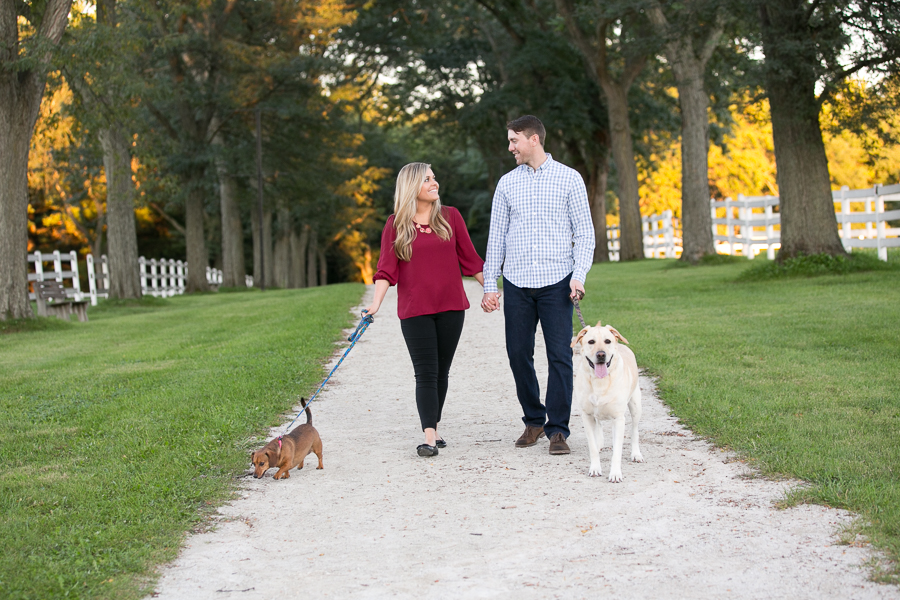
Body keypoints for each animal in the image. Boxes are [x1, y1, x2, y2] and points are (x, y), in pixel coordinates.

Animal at [572, 322, 644, 480]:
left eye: (607, 341)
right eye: (591, 341)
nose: (601, 355)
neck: (600, 382)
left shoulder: (618, 418)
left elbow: (617, 451)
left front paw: (615, 473)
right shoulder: (586, 416)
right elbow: (592, 446)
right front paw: (595, 468)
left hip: (636, 405)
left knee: (635, 431)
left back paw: (636, 454)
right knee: (598, 425)